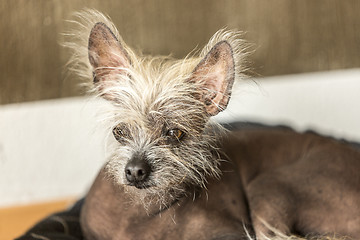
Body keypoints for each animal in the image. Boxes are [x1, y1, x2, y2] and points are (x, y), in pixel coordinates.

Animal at [65, 9, 360, 240]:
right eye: (119, 131)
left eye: (175, 133)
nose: (136, 170)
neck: (140, 211)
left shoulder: (232, 232)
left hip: (269, 184)